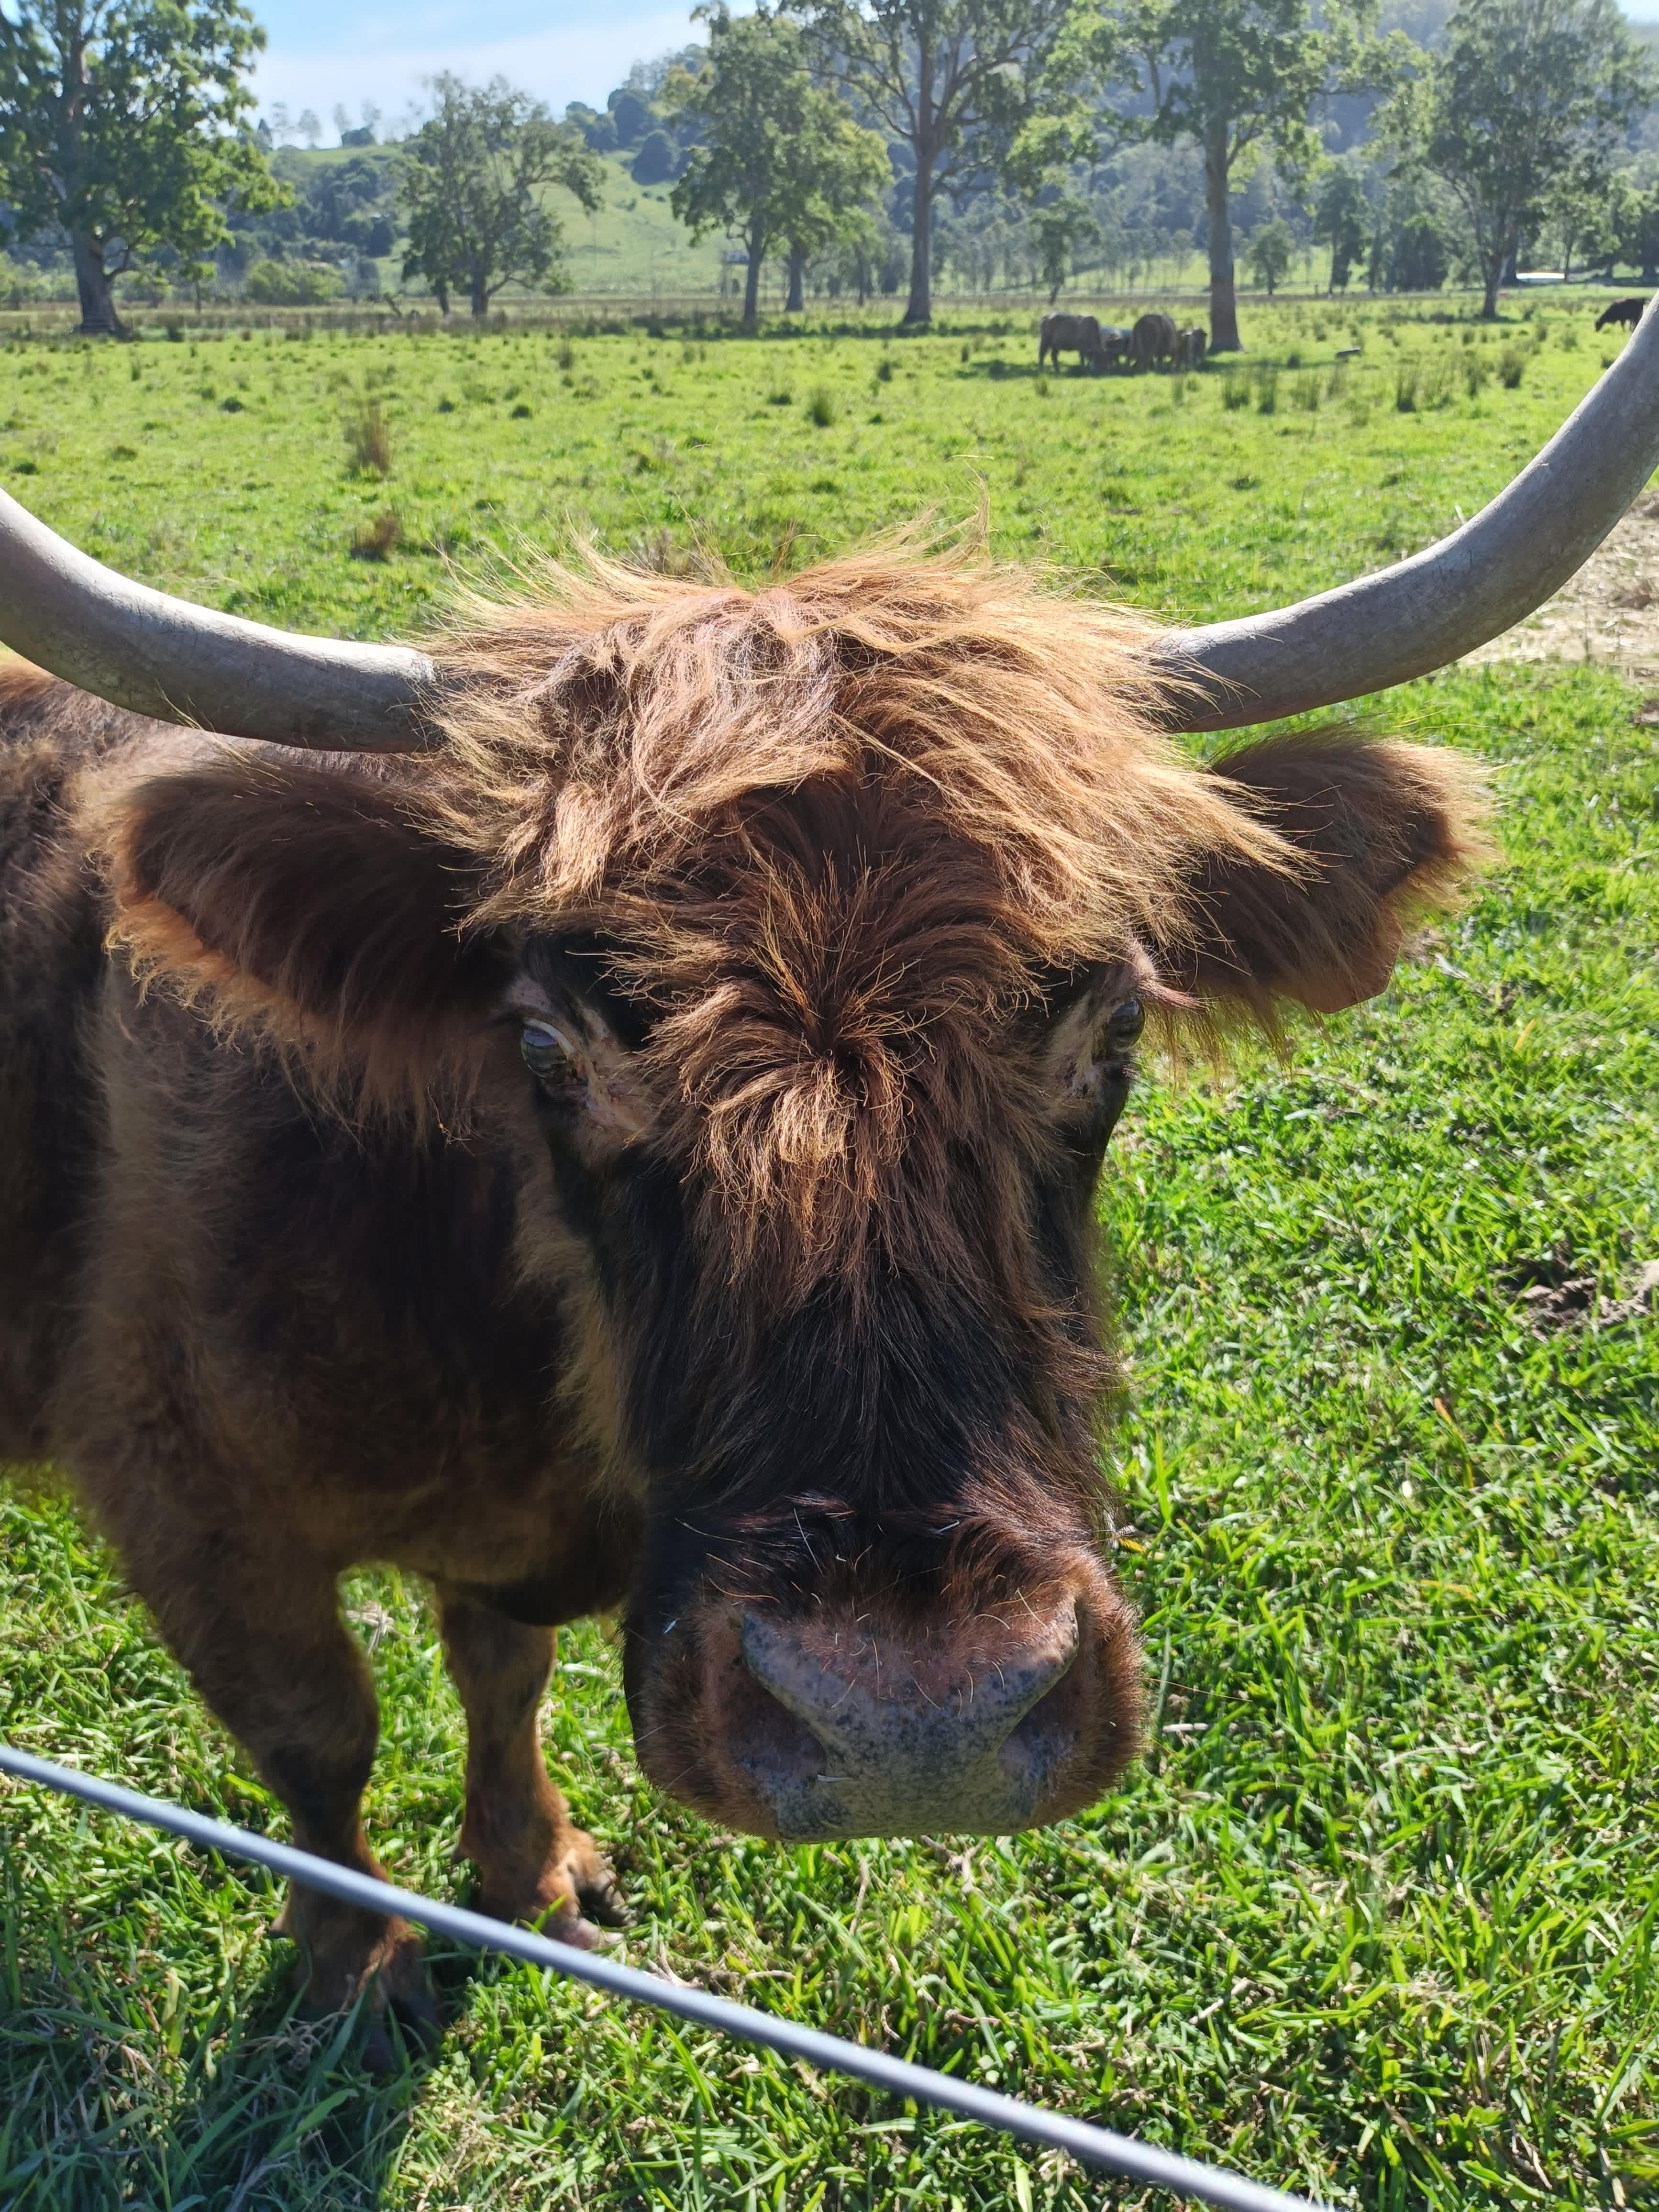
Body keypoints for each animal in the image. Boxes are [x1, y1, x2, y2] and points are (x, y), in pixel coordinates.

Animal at [1038, 311, 1103, 370]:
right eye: (1093, 357)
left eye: (1100, 358)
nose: (1094, 369)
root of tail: (1047, 316)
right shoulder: (1081, 349)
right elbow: (1082, 359)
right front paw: (1083, 368)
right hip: (1045, 341)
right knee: (1042, 354)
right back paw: (1041, 369)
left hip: (1055, 345)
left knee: (1054, 356)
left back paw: (1057, 371)